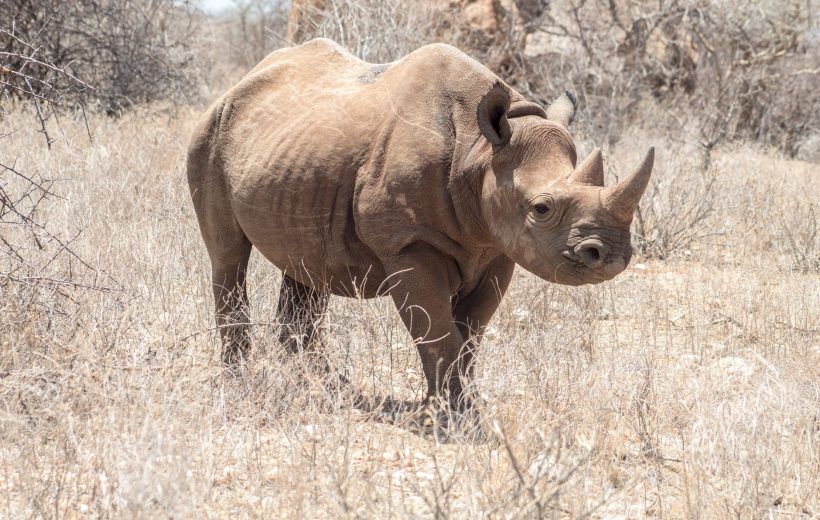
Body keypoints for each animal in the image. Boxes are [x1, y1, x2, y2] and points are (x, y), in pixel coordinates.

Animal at [187, 39, 654, 410]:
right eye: (542, 208)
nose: (612, 256)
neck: (480, 152)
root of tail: (240, 83)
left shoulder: (497, 247)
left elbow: (469, 335)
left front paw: (455, 404)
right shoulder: (409, 245)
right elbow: (438, 332)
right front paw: (454, 416)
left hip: (297, 158)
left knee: (305, 265)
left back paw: (327, 387)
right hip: (209, 135)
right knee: (227, 256)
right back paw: (240, 382)